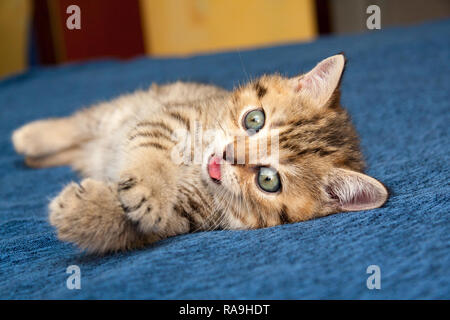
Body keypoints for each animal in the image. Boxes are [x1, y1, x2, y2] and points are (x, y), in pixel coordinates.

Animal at [12, 55, 388, 255]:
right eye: (254, 119)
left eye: (268, 180)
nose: (227, 154)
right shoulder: (169, 118)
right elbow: (151, 154)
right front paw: (147, 187)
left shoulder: (188, 214)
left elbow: (141, 224)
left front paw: (83, 212)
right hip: (120, 111)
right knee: (80, 124)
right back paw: (30, 137)